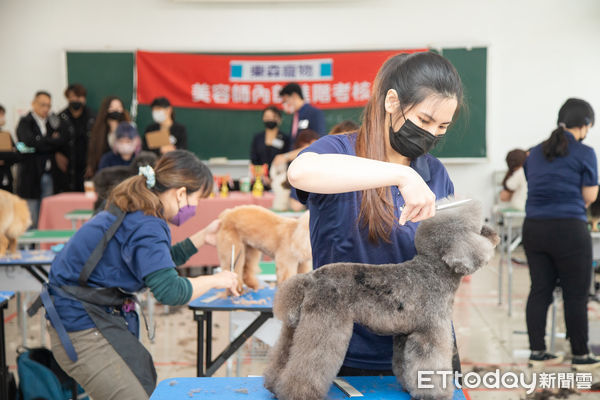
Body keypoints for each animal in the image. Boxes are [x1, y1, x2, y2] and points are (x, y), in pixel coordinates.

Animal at [264, 202, 500, 400]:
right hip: (326, 325)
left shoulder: (405, 334)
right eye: (479, 228)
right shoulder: (430, 331)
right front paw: (436, 393)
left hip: (297, 326)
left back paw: (275, 386)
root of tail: (310, 279)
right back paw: (298, 393)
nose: (496, 235)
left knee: (283, 356)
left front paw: (410, 387)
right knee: (308, 364)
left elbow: (405, 364)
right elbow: (430, 362)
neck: (434, 269)